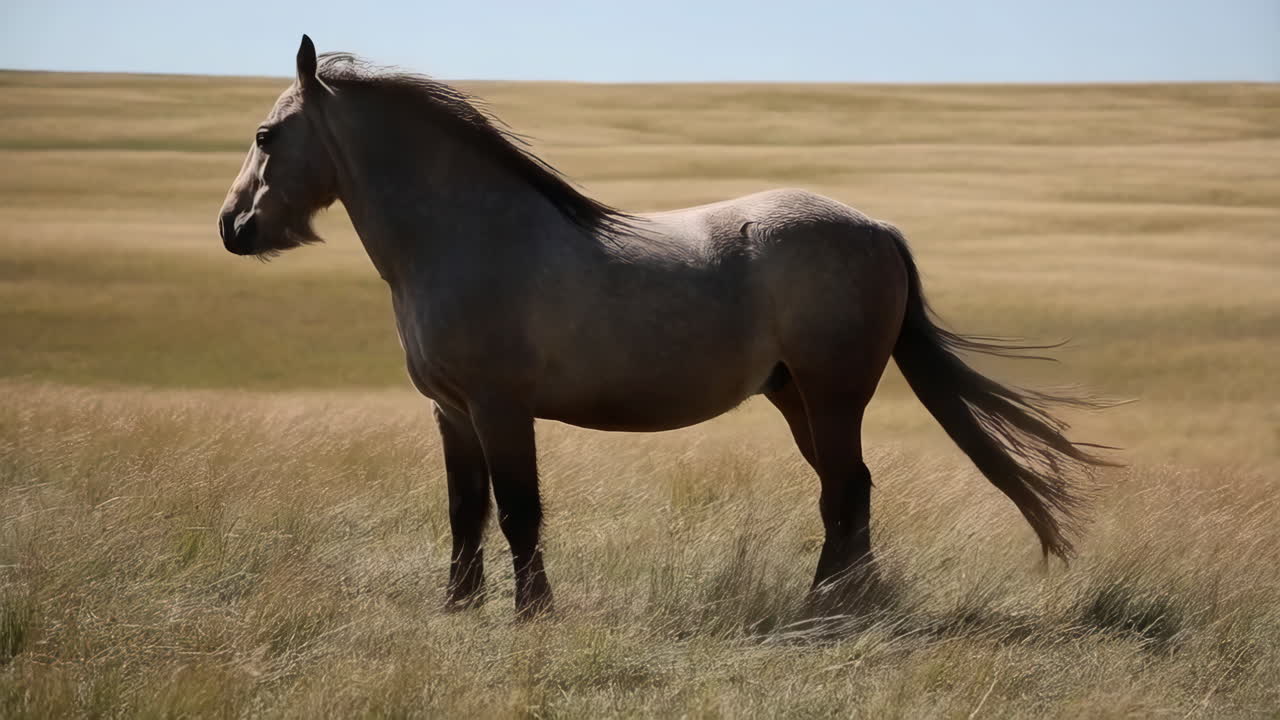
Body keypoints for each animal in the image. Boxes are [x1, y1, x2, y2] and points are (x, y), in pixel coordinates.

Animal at [218, 36, 1111, 618]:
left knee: (846, 489)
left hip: (832, 396)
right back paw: (848, 600)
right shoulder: (452, 413)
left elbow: (519, 511)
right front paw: (458, 607)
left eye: (265, 135)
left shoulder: (502, 410)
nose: (233, 227)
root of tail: (877, 228)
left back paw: (830, 605)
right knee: (846, 491)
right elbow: (464, 510)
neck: (466, 232)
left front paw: (534, 613)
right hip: (795, 398)